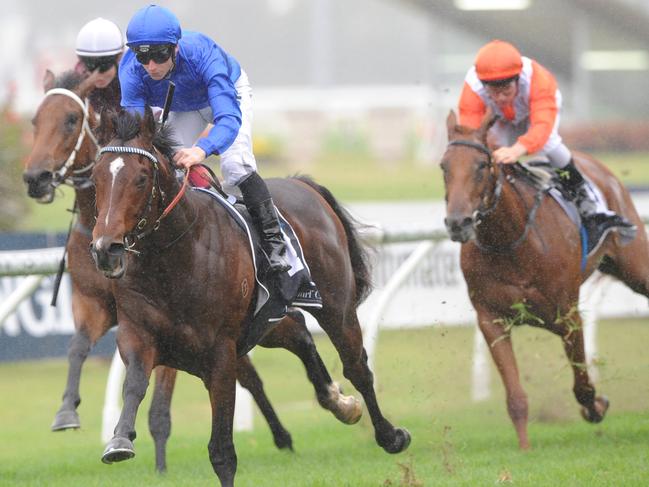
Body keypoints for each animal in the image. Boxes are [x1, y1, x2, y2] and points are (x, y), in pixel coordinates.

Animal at [22, 70, 332, 470]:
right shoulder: (97, 304)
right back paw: (284, 434)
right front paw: (67, 413)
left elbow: (160, 399)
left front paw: (159, 462)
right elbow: (79, 348)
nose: (35, 177)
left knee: (292, 334)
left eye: (71, 120)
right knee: (252, 371)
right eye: (35, 121)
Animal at [88, 108, 408, 486]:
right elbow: (135, 386)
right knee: (299, 334)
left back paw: (389, 434)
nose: (105, 249)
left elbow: (222, 452)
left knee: (357, 365)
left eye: (140, 178)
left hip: (335, 306)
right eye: (95, 177)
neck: (173, 260)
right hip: (267, 321)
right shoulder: (139, 337)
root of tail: (302, 184)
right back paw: (337, 400)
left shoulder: (220, 355)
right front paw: (119, 440)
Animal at [440, 110, 648, 450]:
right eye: (444, 166)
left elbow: (583, 385)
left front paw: (597, 407)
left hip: (635, 266)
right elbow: (515, 397)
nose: (458, 222)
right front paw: (524, 448)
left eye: (482, 165)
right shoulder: (491, 319)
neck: (512, 242)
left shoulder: (568, 316)